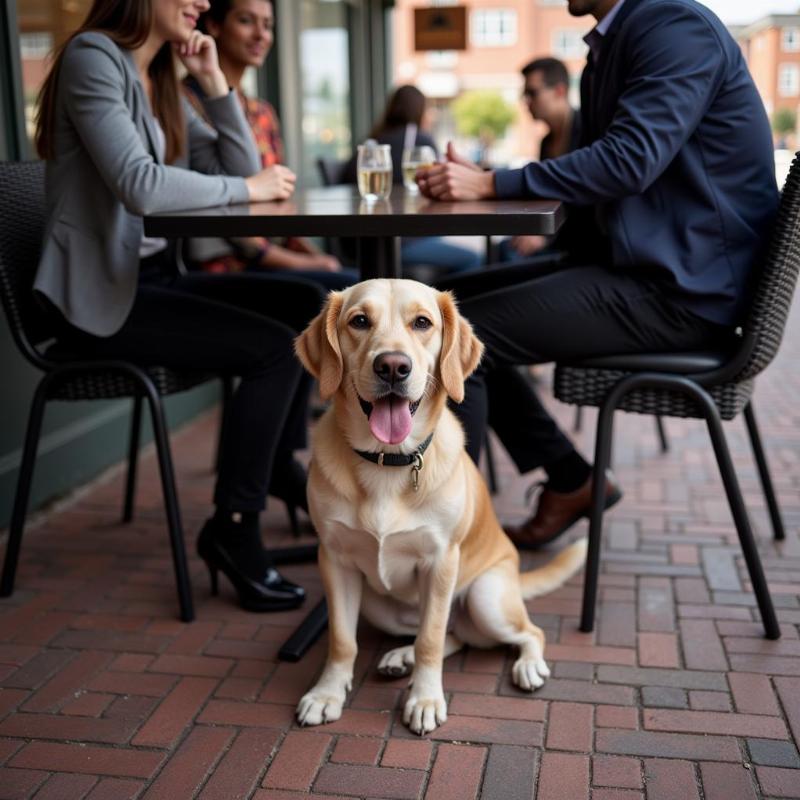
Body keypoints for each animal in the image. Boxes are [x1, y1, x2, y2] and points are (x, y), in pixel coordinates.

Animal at [296, 278, 588, 736]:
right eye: (359, 321)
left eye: (422, 323)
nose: (393, 366)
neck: (387, 462)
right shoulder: (335, 560)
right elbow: (343, 640)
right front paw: (327, 693)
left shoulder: (440, 562)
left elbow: (430, 640)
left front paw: (426, 699)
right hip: (380, 606)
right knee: (450, 635)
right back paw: (401, 659)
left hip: (487, 598)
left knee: (525, 632)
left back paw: (527, 666)